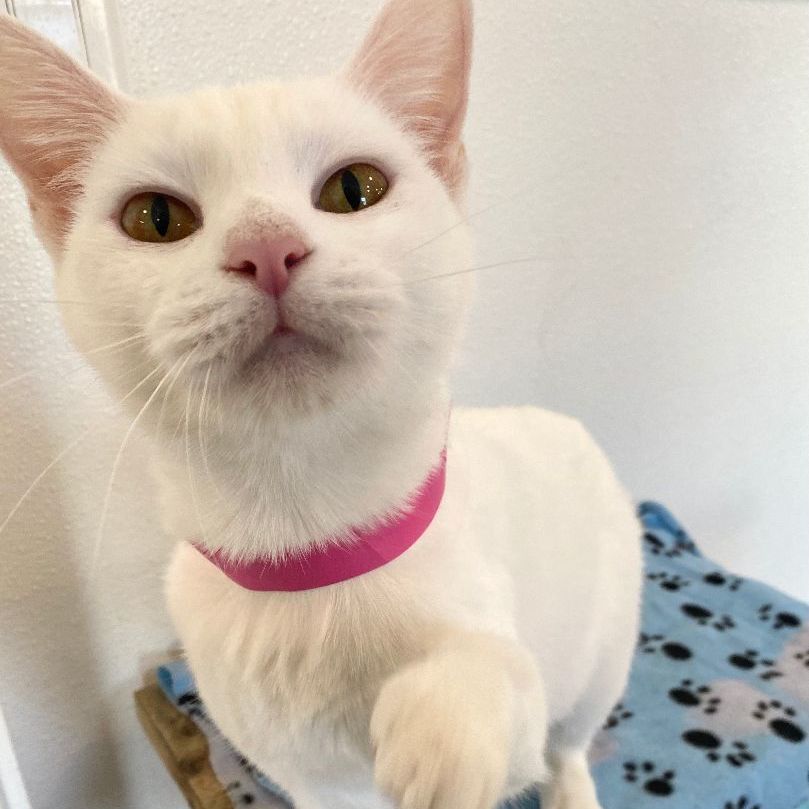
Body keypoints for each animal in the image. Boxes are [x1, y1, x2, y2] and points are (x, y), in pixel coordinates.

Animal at [0, 1, 642, 808]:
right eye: (155, 217)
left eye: (355, 189)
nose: (266, 248)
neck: (311, 551)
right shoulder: (305, 777)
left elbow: (497, 675)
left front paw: (440, 729)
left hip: (605, 643)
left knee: (569, 737)